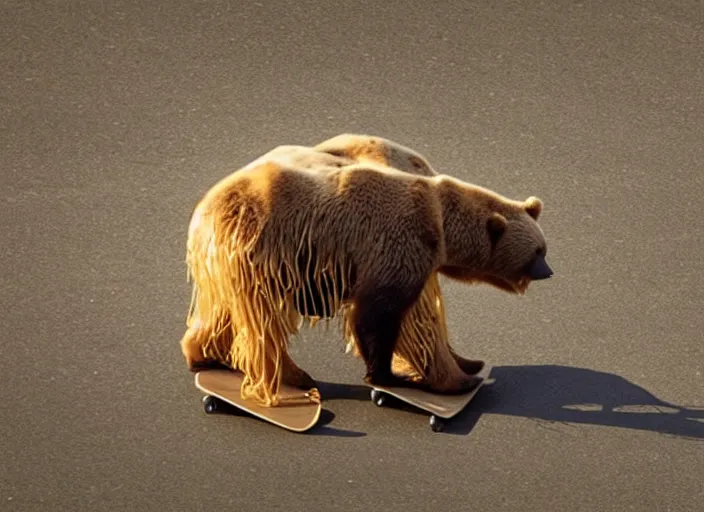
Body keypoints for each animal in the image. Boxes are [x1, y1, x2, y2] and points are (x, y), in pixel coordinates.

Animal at [179, 136, 552, 408]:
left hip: (230, 266)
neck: (442, 223)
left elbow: (419, 318)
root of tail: (203, 212)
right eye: (537, 252)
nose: (548, 271)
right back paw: (293, 376)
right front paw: (391, 375)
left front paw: (462, 366)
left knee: (223, 314)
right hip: (263, 251)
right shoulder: (397, 241)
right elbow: (380, 313)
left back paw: (204, 355)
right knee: (264, 322)